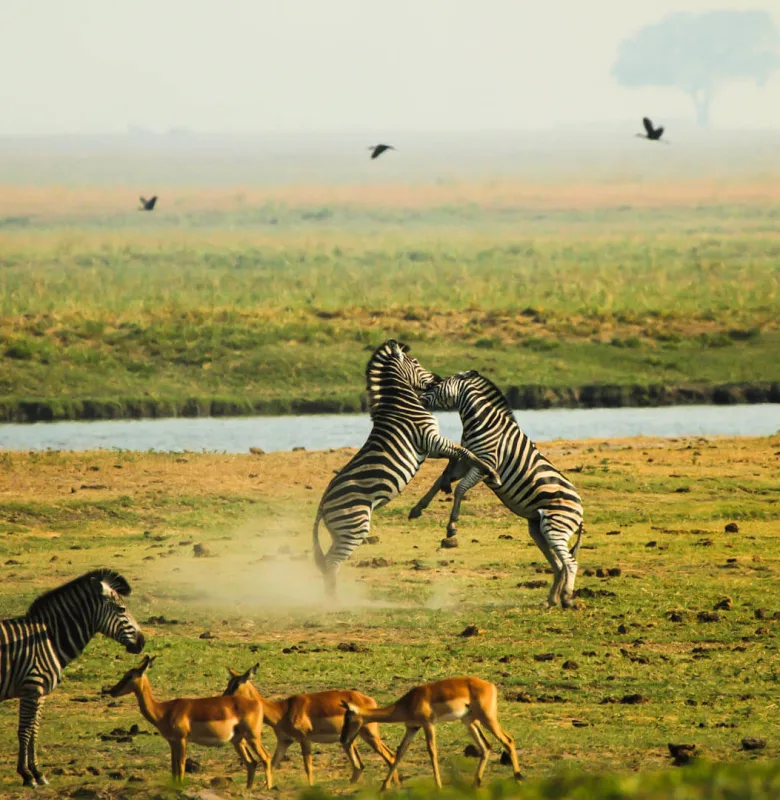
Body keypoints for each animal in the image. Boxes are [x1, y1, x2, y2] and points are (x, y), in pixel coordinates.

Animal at [0, 569, 145, 786]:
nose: (143, 642)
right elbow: (25, 732)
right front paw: (26, 775)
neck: (49, 638)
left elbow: (34, 731)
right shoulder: (31, 689)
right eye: (121, 609)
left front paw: (38, 773)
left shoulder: (40, 694)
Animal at [313, 340, 502, 597]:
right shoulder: (430, 439)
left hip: (341, 531)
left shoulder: (431, 447)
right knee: (332, 564)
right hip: (354, 525)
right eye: (415, 362)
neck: (400, 404)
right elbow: (467, 453)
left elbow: (458, 456)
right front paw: (492, 472)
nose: (437, 377)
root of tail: (323, 504)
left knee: (329, 563)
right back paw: (335, 601)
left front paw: (445, 483)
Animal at [411, 370, 583, 608]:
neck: (481, 422)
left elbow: (460, 489)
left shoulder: (485, 464)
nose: (418, 399)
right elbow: (440, 481)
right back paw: (551, 600)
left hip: (555, 527)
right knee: (559, 564)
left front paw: (452, 526)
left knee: (571, 563)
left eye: (436, 385)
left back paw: (566, 598)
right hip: (538, 529)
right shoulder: (468, 462)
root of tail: (581, 510)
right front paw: (417, 508)